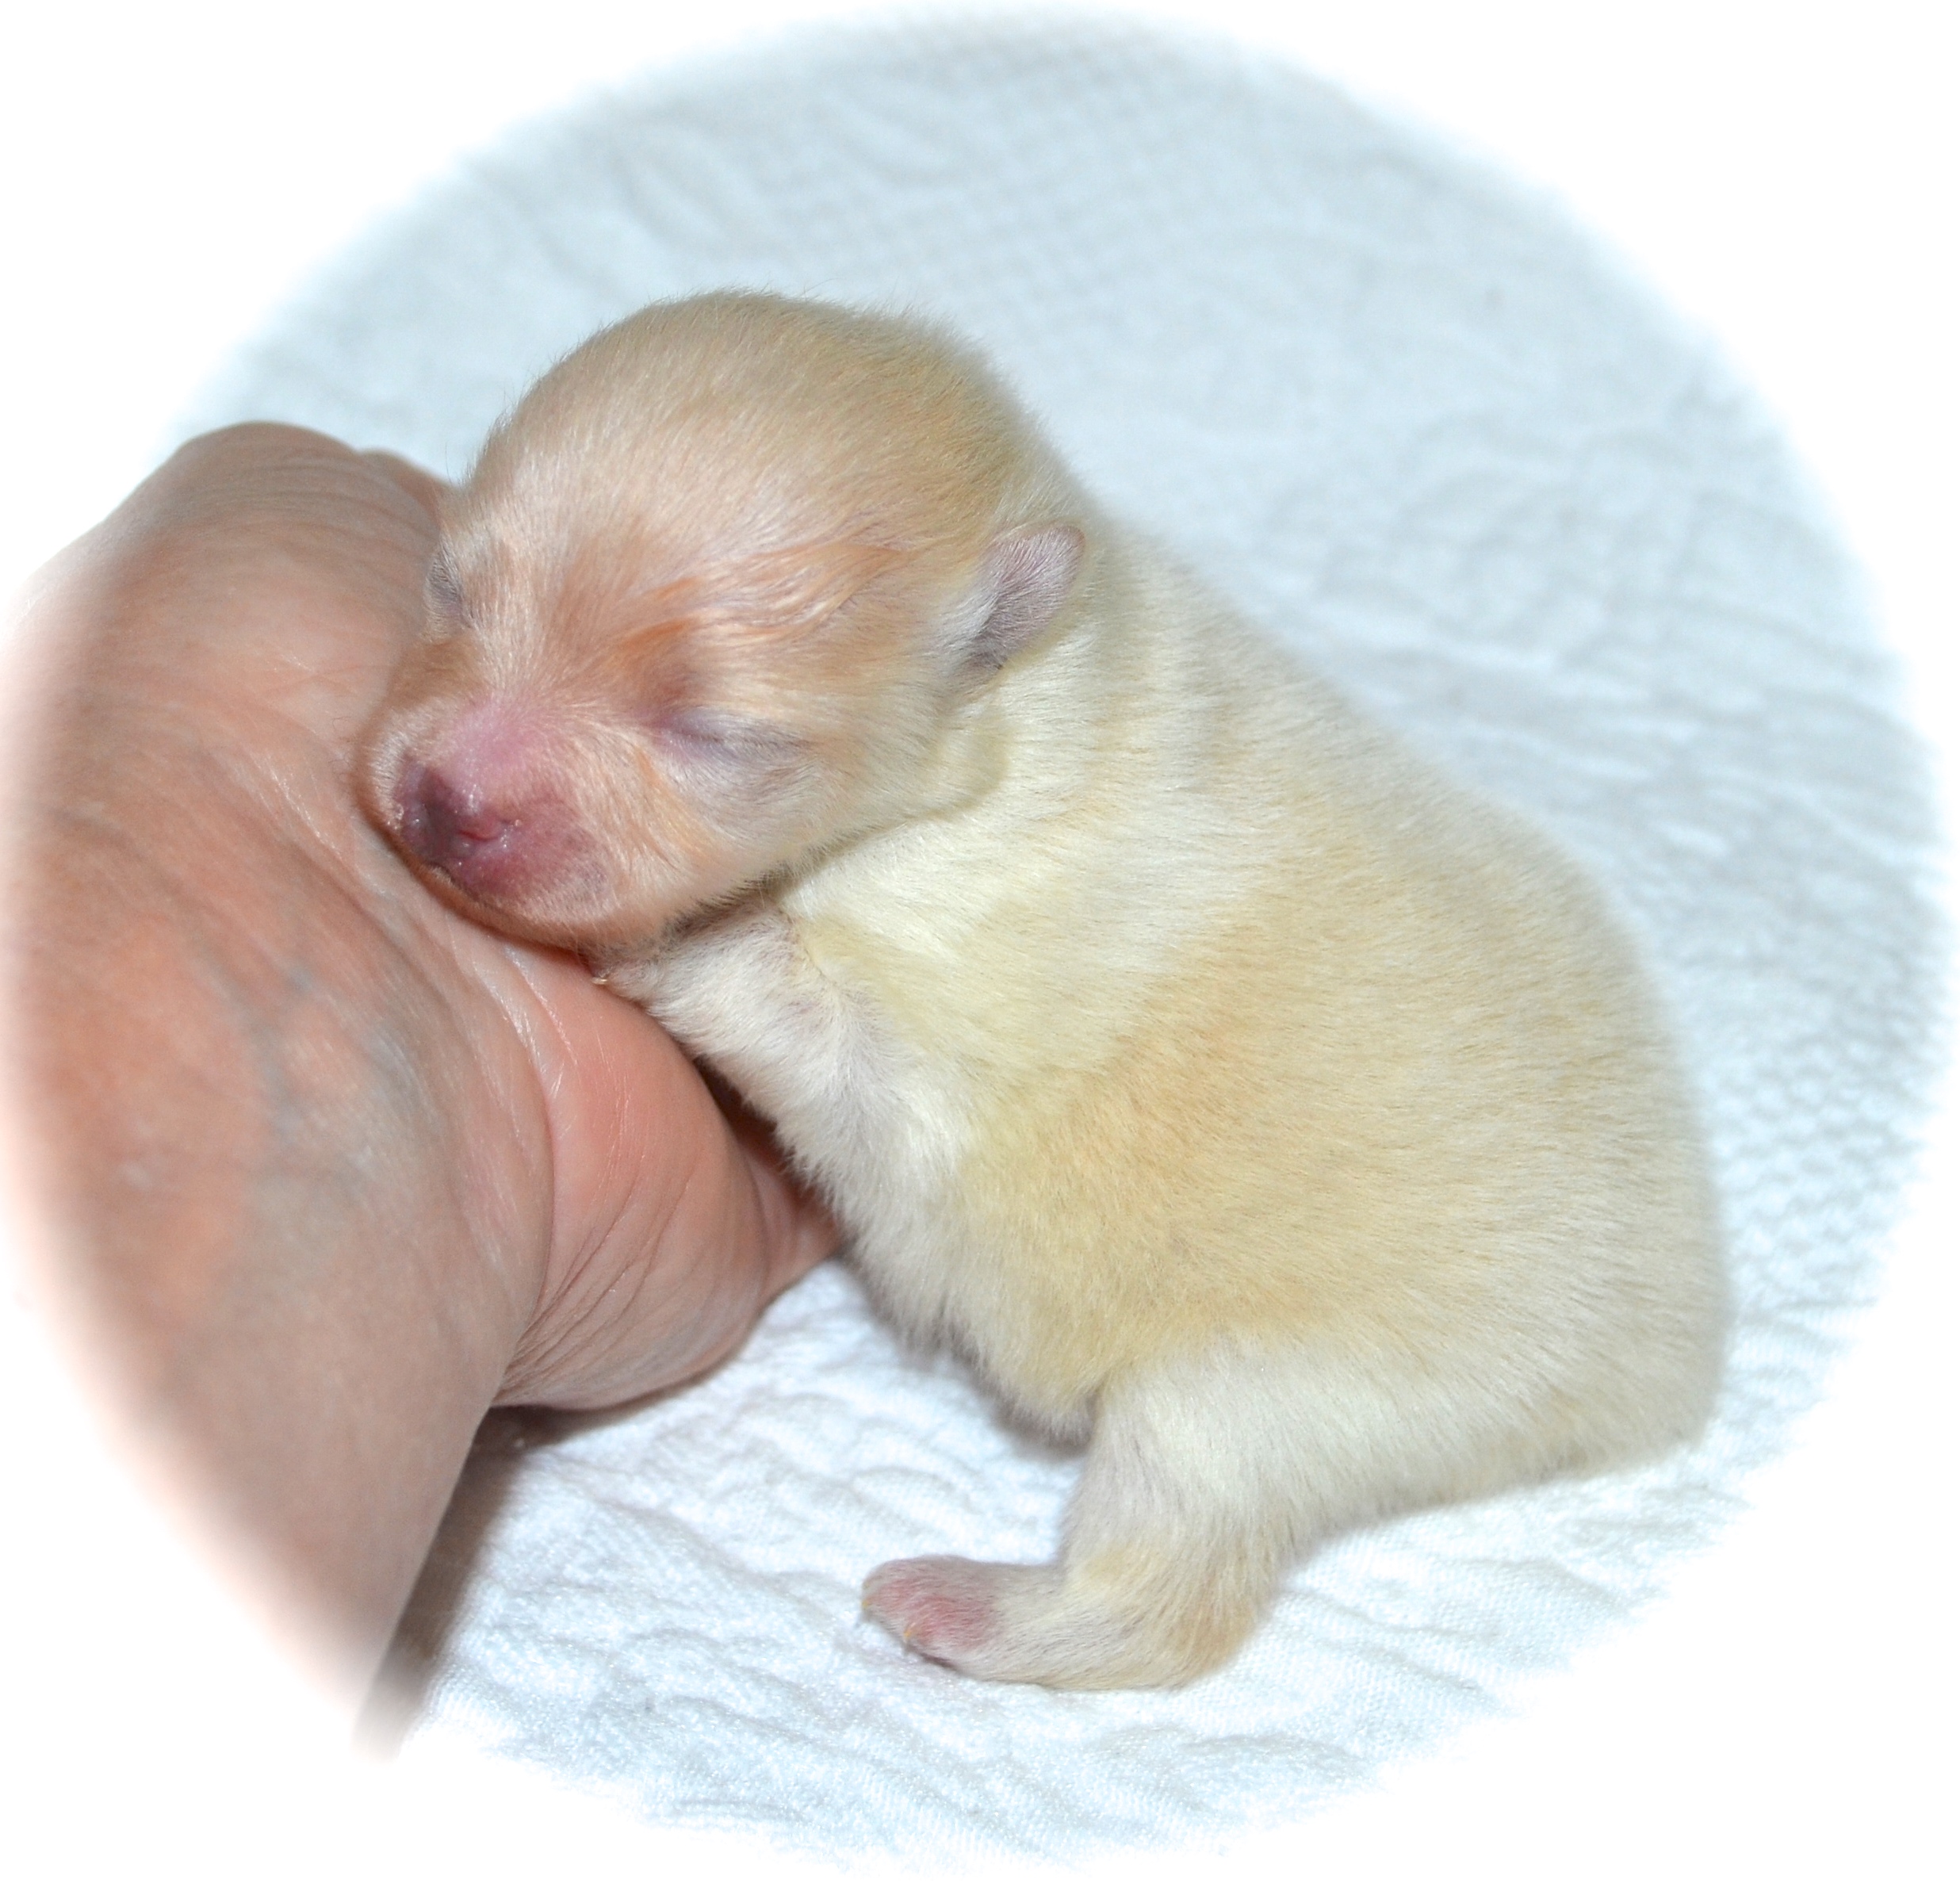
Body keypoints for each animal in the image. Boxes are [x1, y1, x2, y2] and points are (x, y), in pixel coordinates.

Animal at [359, 292, 1724, 1689]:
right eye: (449, 585)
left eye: (715, 735)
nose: (445, 806)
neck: (1026, 707)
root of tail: (1668, 1354)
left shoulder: (948, 1038)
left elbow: (807, 1013)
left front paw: (668, 939)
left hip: (1271, 1394)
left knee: (1169, 1586)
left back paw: (972, 1608)